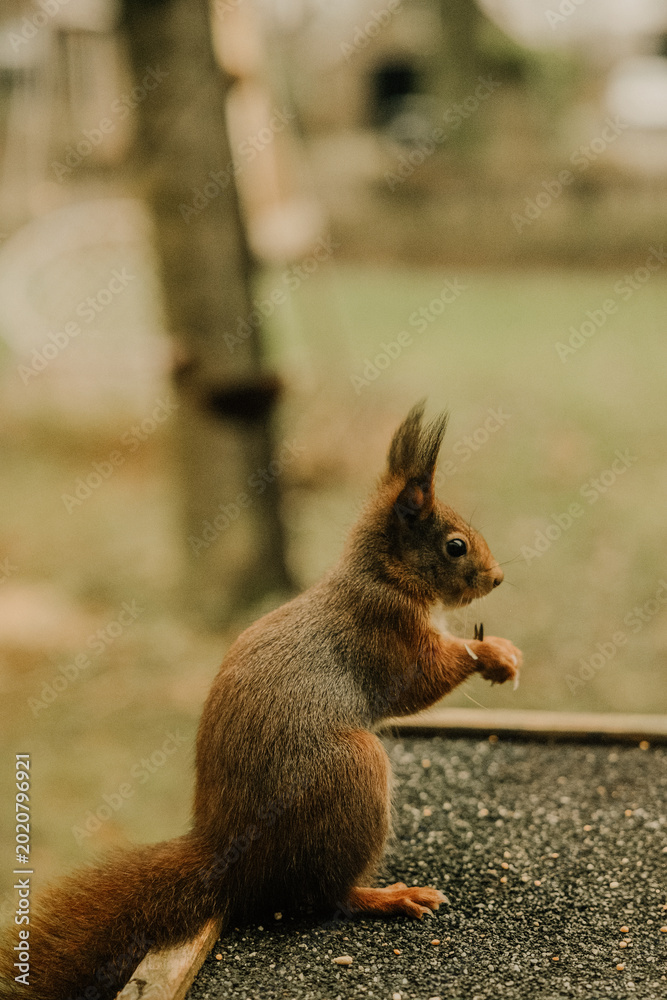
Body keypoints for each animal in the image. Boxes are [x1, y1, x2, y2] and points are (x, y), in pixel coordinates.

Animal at [0, 402, 522, 1000]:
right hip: (351, 774)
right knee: (324, 896)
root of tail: (228, 857)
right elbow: (420, 682)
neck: (381, 575)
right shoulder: (383, 632)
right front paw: (490, 653)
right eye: (455, 545)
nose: (497, 578)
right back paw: (386, 897)